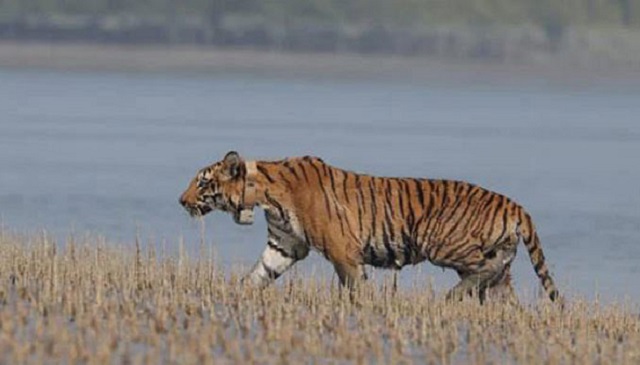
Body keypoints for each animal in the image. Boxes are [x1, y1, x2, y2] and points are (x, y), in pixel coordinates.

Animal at [180, 151, 560, 302]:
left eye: (202, 183)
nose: (181, 201)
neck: (263, 196)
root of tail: (513, 204)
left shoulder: (341, 251)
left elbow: (353, 286)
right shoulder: (284, 245)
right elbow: (257, 275)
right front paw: (232, 297)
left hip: (441, 243)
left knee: (485, 268)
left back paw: (451, 296)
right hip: (496, 264)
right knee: (501, 289)